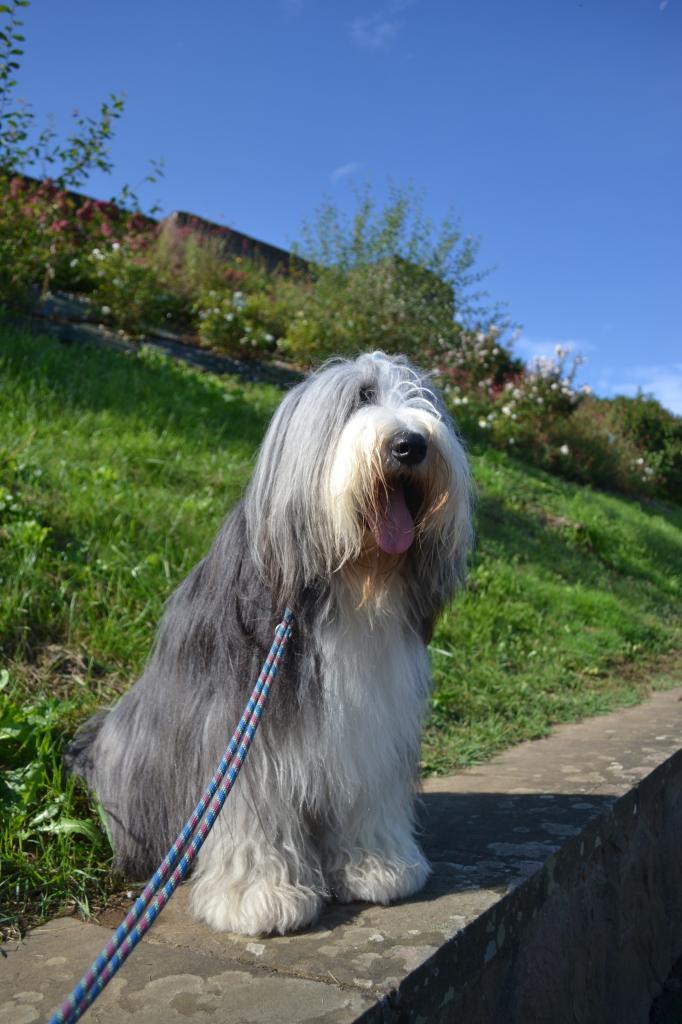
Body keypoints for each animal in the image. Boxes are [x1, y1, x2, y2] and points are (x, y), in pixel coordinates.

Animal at [66, 350, 471, 937]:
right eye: (361, 398)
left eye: (425, 401)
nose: (412, 444)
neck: (349, 579)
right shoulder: (240, 722)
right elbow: (251, 809)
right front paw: (257, 895)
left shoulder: (370, 721)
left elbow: (367, 793)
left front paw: (377, 866)